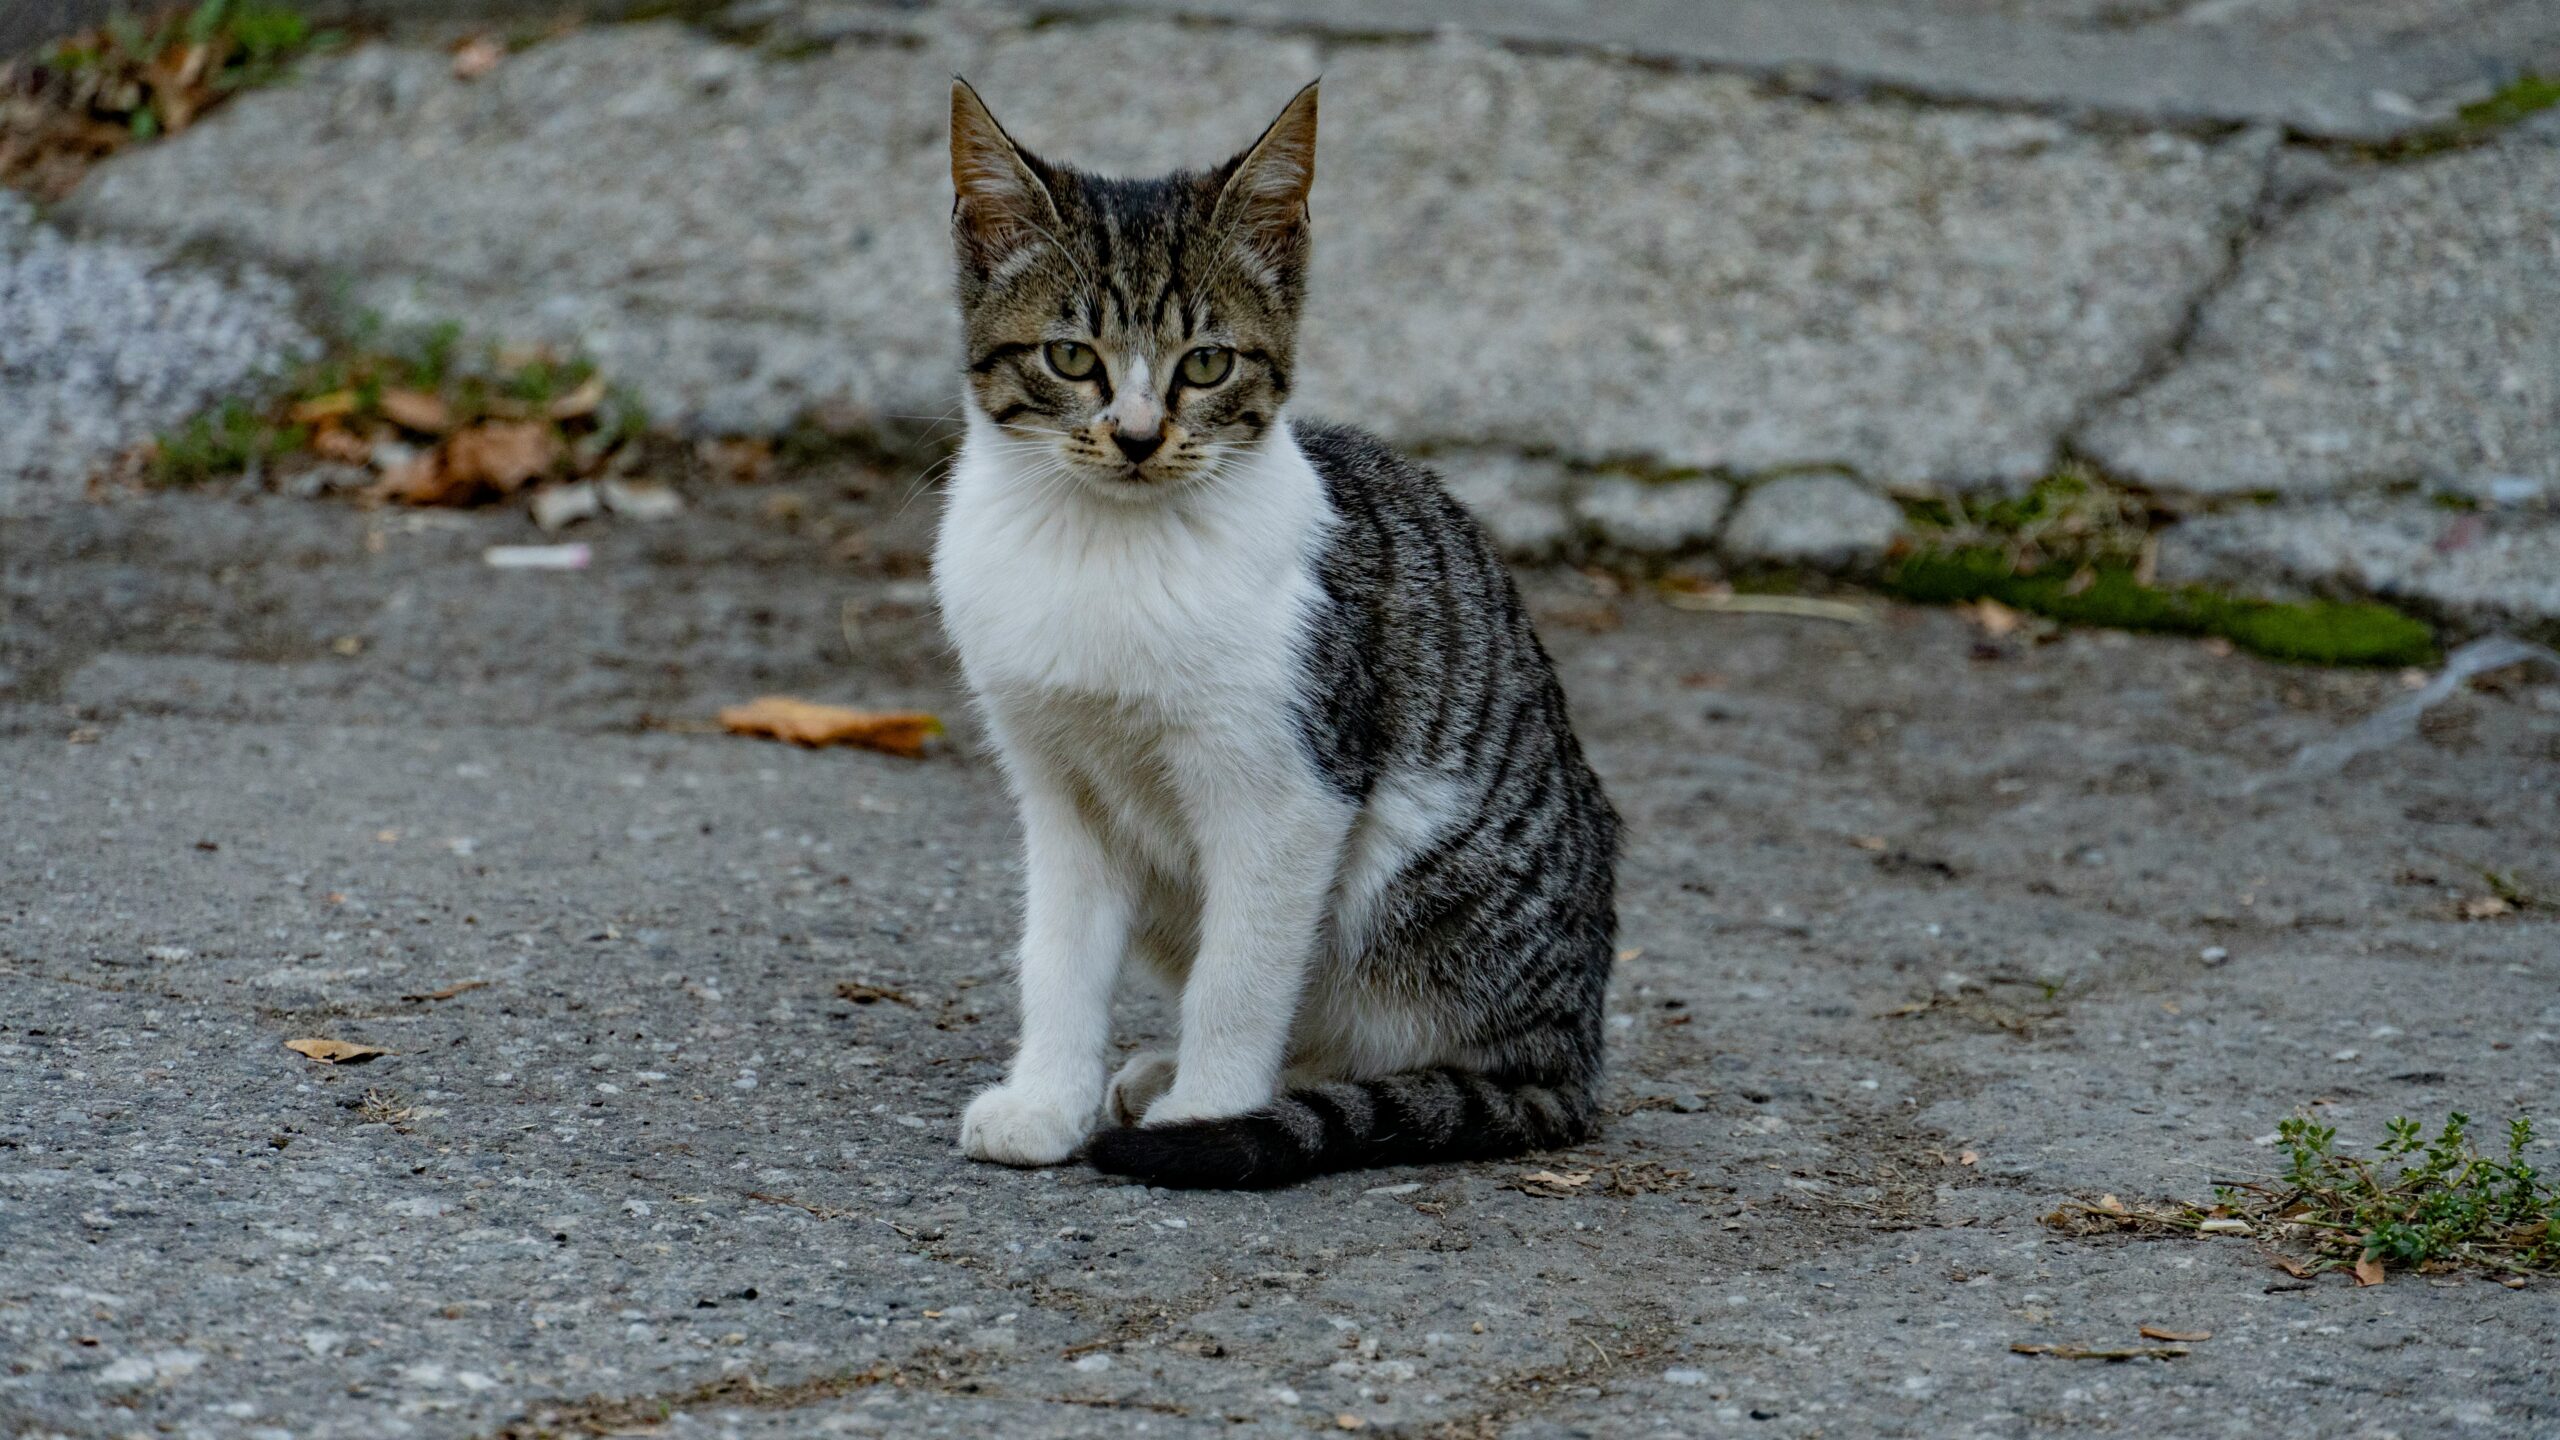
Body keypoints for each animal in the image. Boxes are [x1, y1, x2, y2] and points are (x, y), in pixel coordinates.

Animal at [936, 73, 1617, 1183]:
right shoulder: (1057, 787)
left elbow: (1243, 971)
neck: (1111, 552)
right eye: (1070, 357)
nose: (1136, 437)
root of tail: (1571, 1054)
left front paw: (1208, 1110)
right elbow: (1058, 956)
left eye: (1207, 364)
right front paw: (1046, 1100)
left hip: (1411, 883)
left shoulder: (1290, 788)